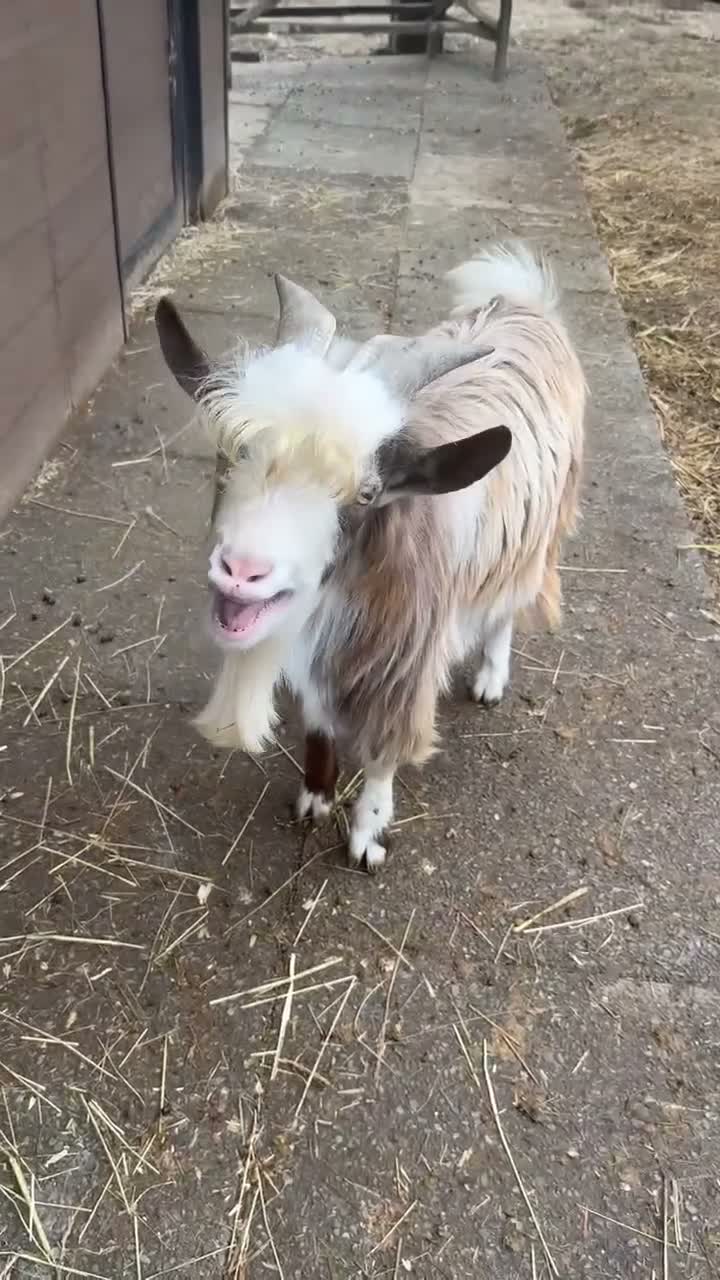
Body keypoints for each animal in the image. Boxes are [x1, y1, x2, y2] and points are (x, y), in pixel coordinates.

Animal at [156, 243, 585, 870]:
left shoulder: (402, 664)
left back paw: (490, 676)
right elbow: (318, 723)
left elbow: (384, 753)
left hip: (537, 534)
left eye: (366, 494)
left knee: (507, 605)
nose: (242, 572)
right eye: (232, 455)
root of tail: (523, 302)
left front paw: (367, 833)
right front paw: (315, 795)